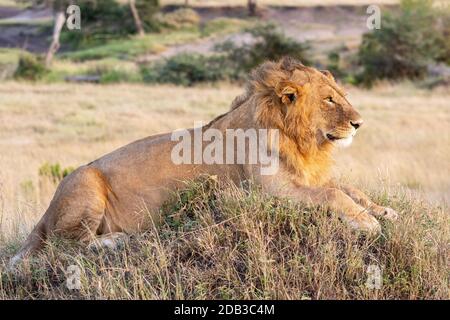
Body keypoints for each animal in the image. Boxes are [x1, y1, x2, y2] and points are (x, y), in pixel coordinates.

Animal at [9, 57, 398, 264]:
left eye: (341, 96)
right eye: (330, 100)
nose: (359, 122)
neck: (299, 141)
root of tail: (46, 211)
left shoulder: (305, 176)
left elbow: (349, 188)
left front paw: (383, 210)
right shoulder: (269, 191)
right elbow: (333, 195)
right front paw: (368, 223)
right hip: (85, 184)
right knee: (65, 247)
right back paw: (116, 241)